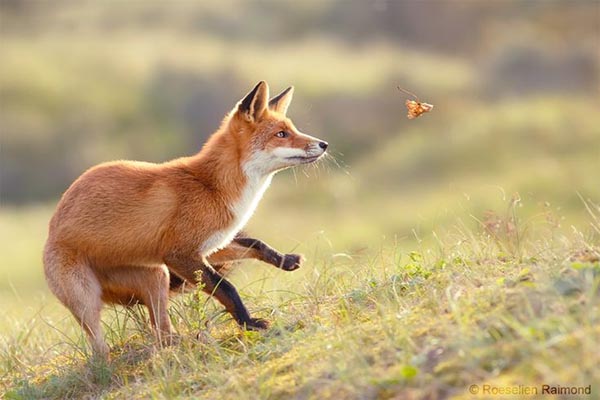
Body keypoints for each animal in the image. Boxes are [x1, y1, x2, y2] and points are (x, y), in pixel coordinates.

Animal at [42, 80, 328, 356]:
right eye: (281, 134)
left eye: (292, 129)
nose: (324, 144)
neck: (212, 187)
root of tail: (50, 231)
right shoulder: (179, 254)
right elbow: (226, 288)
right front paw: (249, 324)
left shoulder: (208, 247)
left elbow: (255, 244)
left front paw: (285, 260)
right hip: (89, 300)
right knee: (100, 349)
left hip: (157, 277)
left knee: (162, 333)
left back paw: (183, 344)